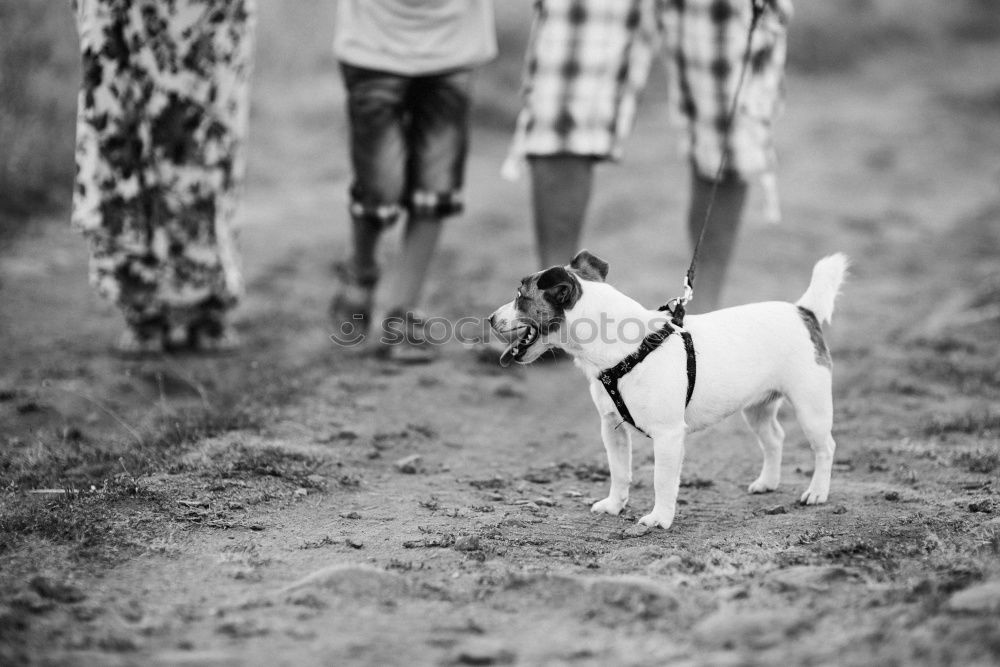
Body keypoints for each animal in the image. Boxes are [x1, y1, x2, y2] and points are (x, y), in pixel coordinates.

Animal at [488, 250, 848, 532]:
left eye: (520, 296)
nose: (490, 318)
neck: (623, 348)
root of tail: (803, 312)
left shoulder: (669, 435)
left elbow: (662, 480)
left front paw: (659, 518)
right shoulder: (611, 427)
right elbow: (619, 472)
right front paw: (614, 505)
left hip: (811, 407)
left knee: (826, 448)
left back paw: (817, 492)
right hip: (758, 408)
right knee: (775, 438)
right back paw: (768, 483)